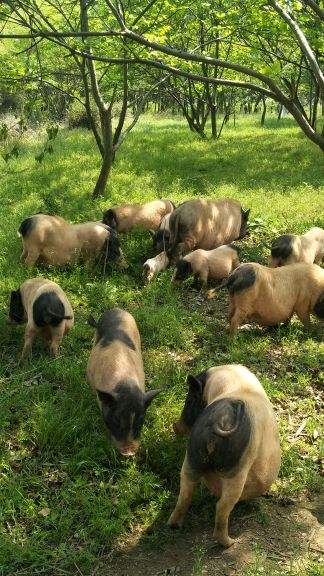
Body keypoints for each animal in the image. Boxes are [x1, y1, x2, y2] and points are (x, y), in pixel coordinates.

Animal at [167, 366, 280, 548]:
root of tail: (221, 420)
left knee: (185, 493)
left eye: (189, 401)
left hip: (193, 455)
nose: (175, 427)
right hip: (236, 469)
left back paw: (174, 525)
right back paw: (230, 543)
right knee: (222, 506)